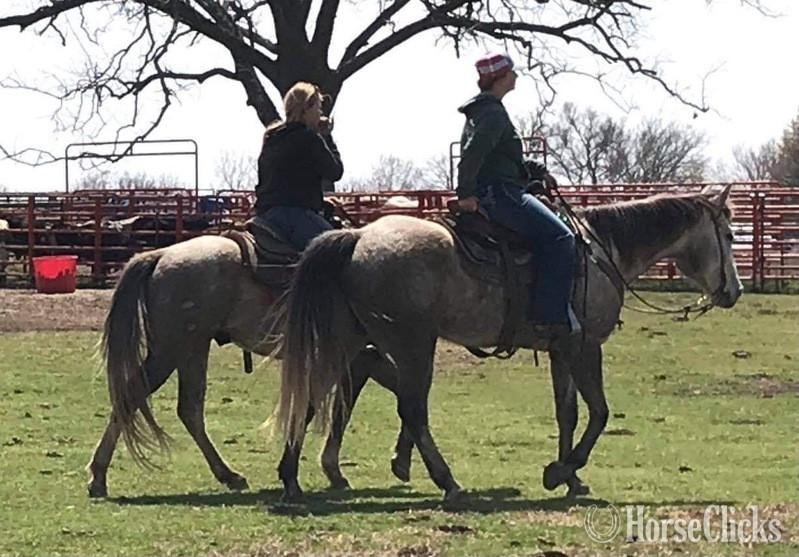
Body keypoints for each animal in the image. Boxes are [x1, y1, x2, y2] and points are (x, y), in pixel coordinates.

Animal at [86, 232, 402, 498]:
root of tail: (161, 254)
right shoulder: (359, 356)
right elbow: (341, 409)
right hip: (170, 351)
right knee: (133, 396)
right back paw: (98, 475)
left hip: (192, 349)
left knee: (189, 409)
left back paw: (228, 475)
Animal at [274, 185, 743, 505]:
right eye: (730, 234)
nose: (734, 292)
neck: (599, 253)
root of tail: (358, 237)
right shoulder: (586, 345)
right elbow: (599, 412)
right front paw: (561, 471)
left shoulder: (560, 348)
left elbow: (568, 413)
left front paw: (569, 477)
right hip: (412, 345)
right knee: (411, 407)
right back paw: (448, 482)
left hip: (351, 338)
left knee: (314, 394)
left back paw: (292, 475)